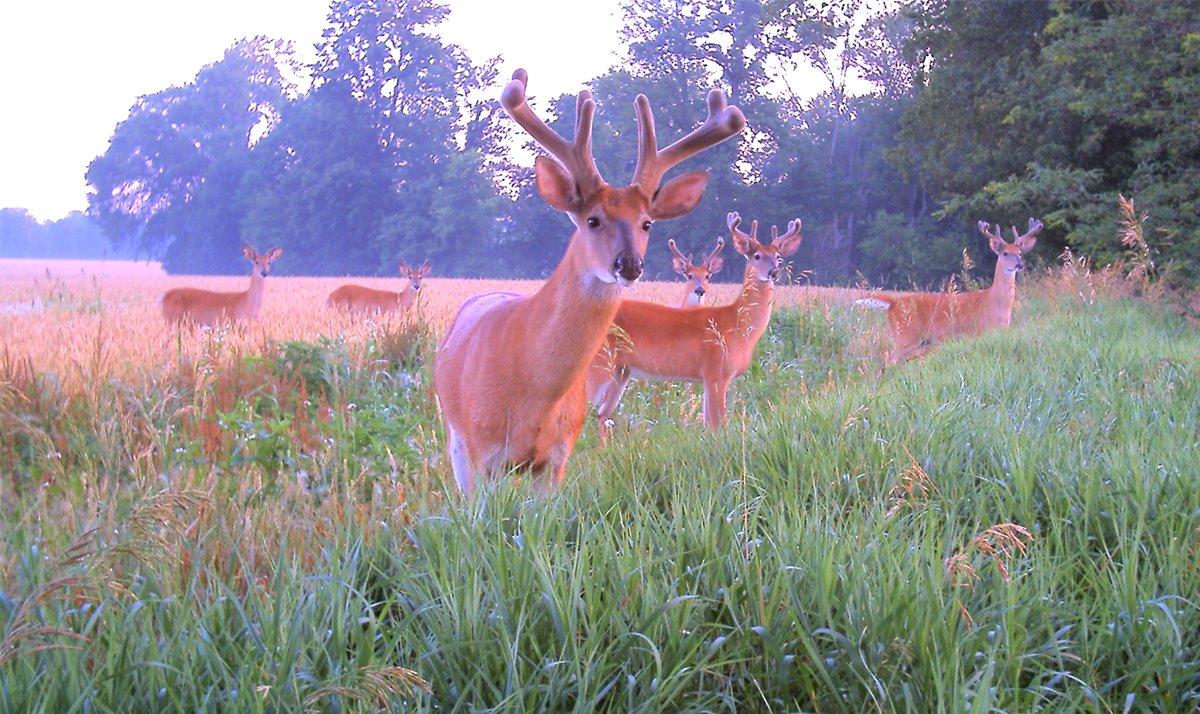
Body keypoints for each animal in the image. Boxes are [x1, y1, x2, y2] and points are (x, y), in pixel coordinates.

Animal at [436, 69, 744, 494]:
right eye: (592, 220)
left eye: (647, 223)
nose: (629, 264)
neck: (533, 393)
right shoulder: (484, 453)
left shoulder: (557, 457)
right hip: (456, 439)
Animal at [585, 212, 801, 441]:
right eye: (757, 256)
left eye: (778, 256)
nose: (774, 272)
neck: (737, 325)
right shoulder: (715, 369)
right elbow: (719, 423)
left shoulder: (708, 377)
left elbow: (708, 423)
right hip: (597, 363)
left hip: (621, 370)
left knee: (602, 413)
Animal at [854, 216, 1041, 362]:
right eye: (1005, 253)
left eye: (1019, 252)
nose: (1020, 264)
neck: (994, 303)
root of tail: (893, 302)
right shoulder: (978, 332)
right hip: (906, 337)